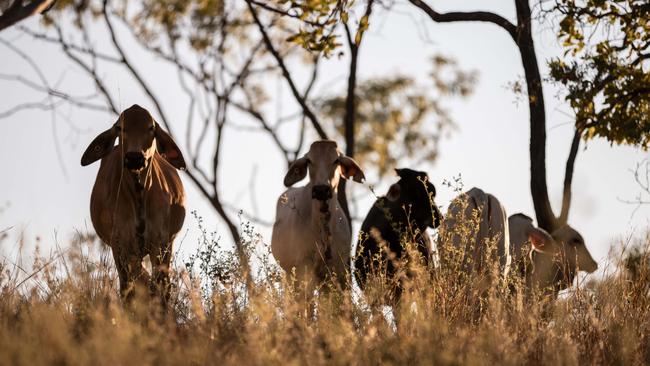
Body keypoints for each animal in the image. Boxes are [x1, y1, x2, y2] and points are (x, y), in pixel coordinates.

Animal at [80, 104, 185, 304]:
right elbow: (130, 288)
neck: (139, 197)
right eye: (120, 127)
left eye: (151, 128)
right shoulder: (120, 245)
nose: (135, 157)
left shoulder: (160, 242)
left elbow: (159, 288)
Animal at [270, 141, 364, 292]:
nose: (321, 190)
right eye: (309, 160)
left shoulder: (338, 270)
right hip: (290, 275)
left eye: (336, 160)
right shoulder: (304, 268)